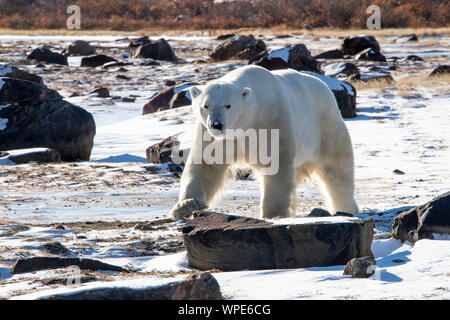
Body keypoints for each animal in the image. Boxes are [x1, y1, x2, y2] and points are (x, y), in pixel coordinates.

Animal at [171, 65, 358, 220]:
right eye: (205, 105)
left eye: (228, 105)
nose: (216, 125)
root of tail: (325, 86)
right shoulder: (211, 136)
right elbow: (206, 164)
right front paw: (187, 205)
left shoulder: (271, 121)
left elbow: (276, 166)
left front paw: (273, 214)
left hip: (325, 127)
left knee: (338, 170)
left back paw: (347, 207)